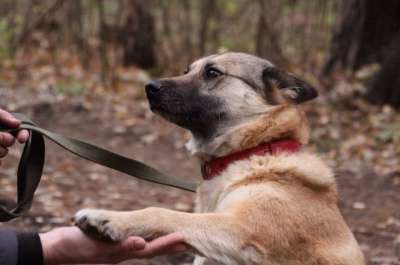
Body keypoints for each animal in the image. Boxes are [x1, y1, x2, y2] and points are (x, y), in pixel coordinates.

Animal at [73, 52, 364, 264]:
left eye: (212, 72)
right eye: (186, 70)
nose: (149, 87)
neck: (251, 152)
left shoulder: (241, 230)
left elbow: (163, 213)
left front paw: (109, 218)